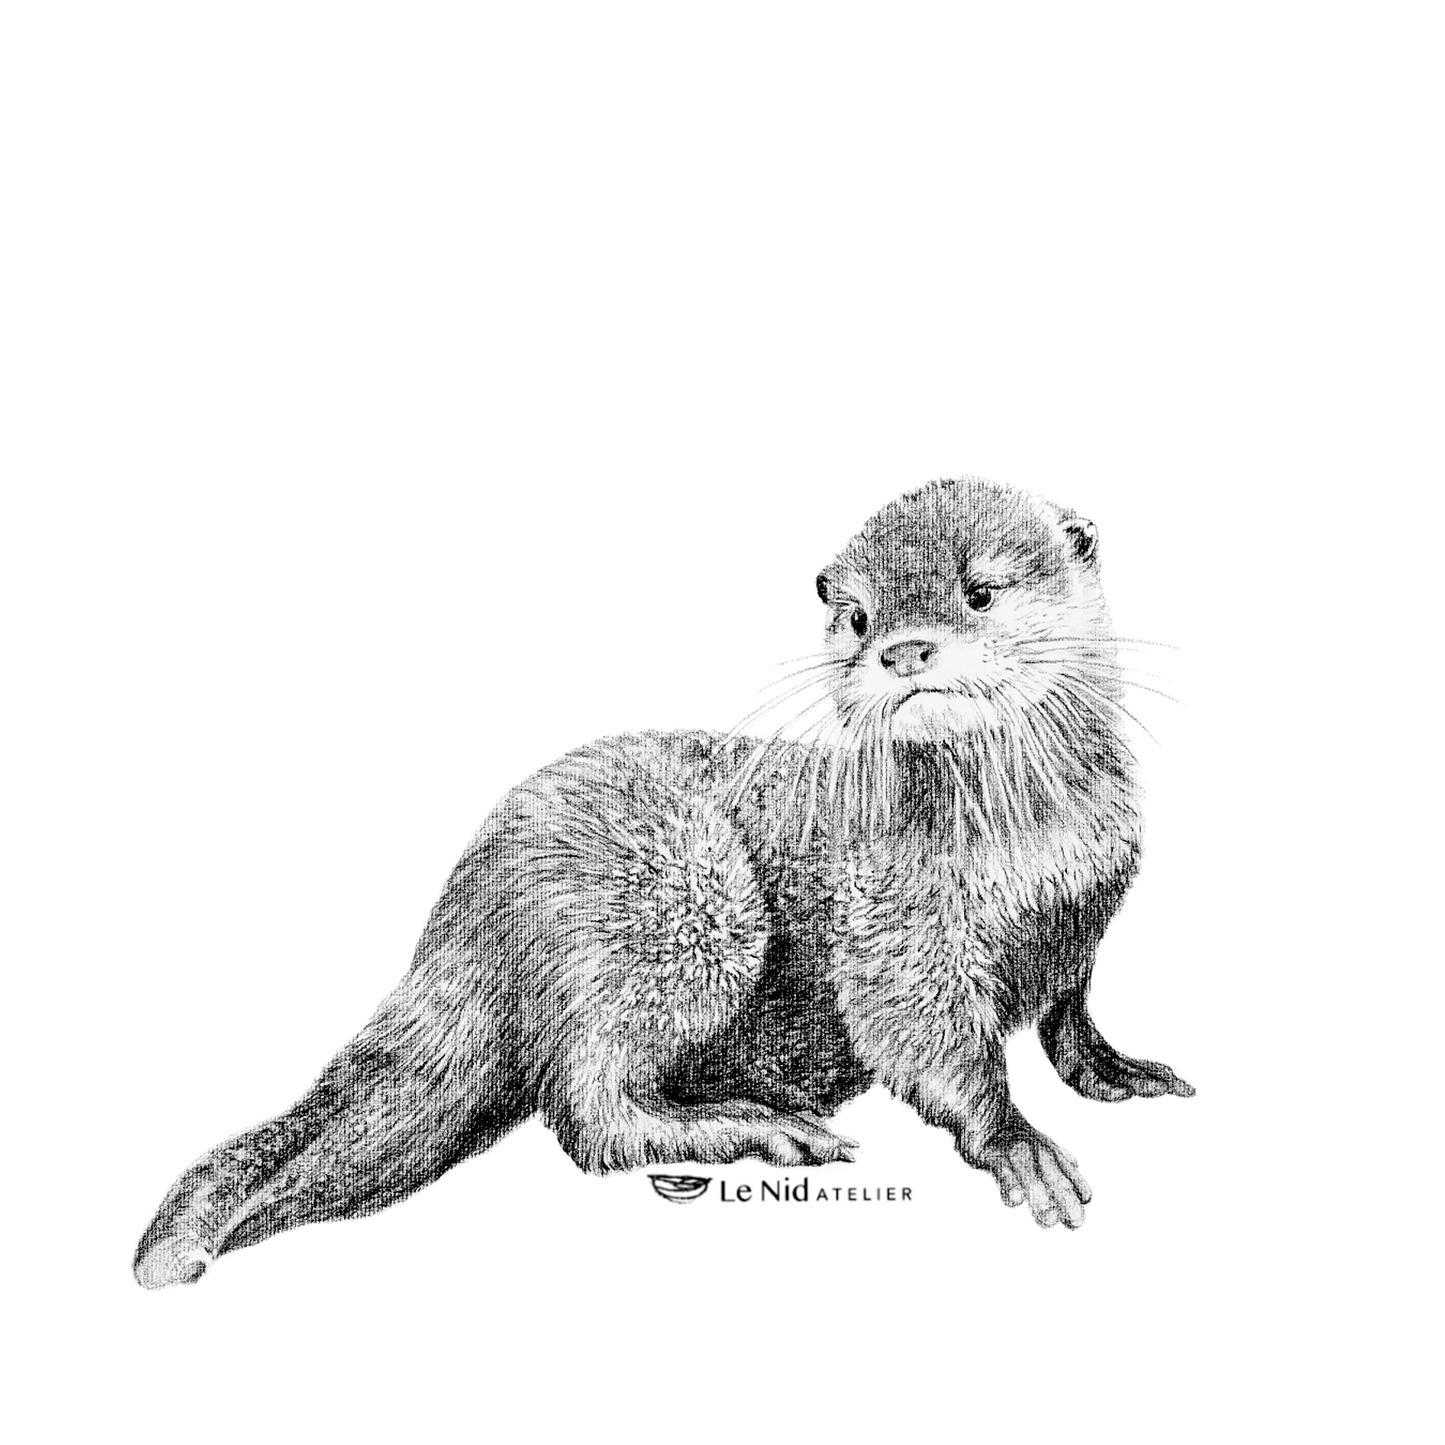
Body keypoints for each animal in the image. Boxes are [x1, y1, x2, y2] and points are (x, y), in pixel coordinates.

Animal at [133, 476, 1193, 1288]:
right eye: (857, 618)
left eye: (979, 592)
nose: (902, 648)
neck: (1025, 845)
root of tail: (467, 899)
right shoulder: (896, 925)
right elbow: (928, 1042)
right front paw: (1020, 1145)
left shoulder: (1086, 913)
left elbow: (1069, 1007)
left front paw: (1124, 1071)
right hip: (678, 901)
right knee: (588, 1112)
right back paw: (760, 1131)